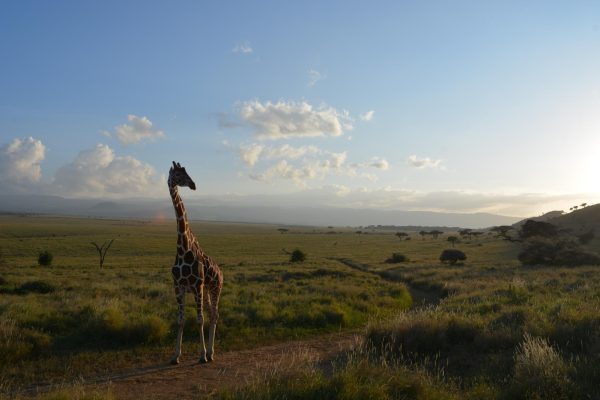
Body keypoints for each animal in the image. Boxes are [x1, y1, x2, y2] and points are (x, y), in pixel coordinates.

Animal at [166, 161, 223, 364]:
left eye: (187, 172)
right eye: (178, 174)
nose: (193, 184)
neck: (183, 248)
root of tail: (222, 272)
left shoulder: (197, 286)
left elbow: (200, 319)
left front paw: (202, 355)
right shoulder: (179, 286)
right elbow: (181, 320)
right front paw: (175, 355)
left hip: (215, 288)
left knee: (214, 315)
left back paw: (211, 353)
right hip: (206, 291)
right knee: (211, 313)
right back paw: (211, 352)